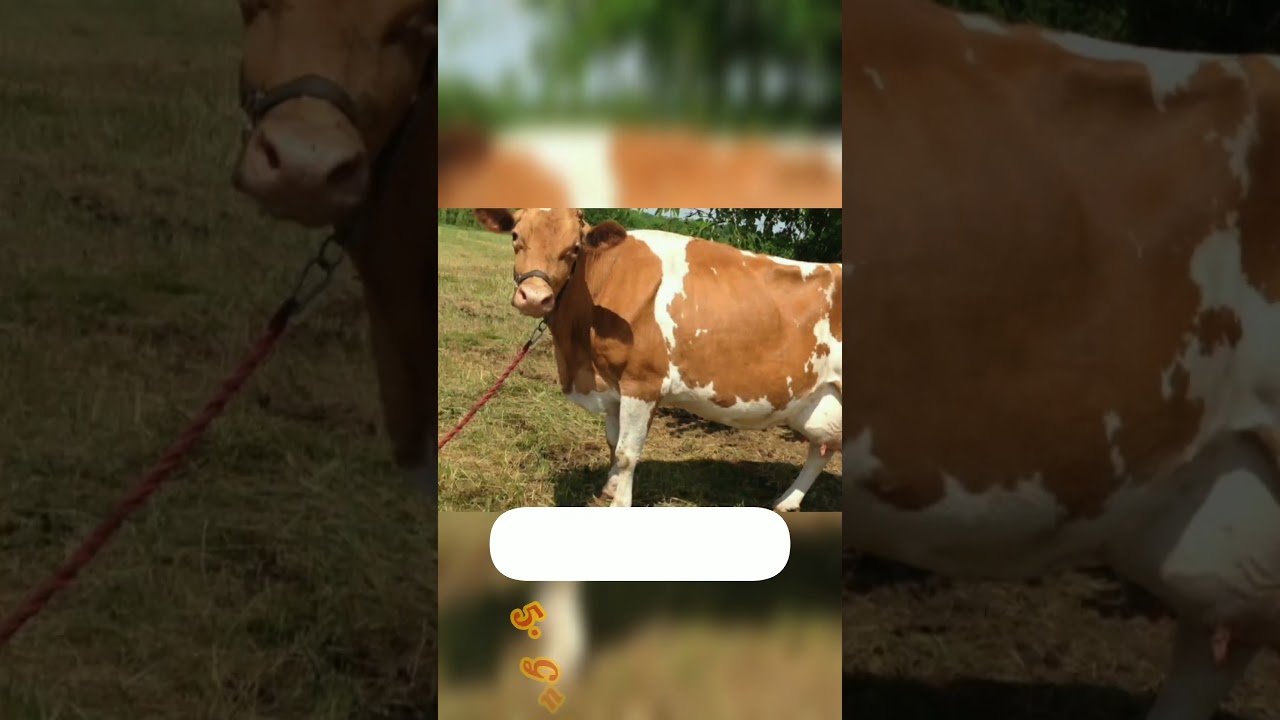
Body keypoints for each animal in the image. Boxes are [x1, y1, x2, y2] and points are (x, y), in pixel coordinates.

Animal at [472, 208, 843, 512]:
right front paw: (609, 488)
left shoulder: (643, 382)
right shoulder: (614, 385)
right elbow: (613, 442)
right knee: (820, 450)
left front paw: (620, 504)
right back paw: (787, 501)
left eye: (574, 248)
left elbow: (626, 452)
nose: (535, 297)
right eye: (516, 236)